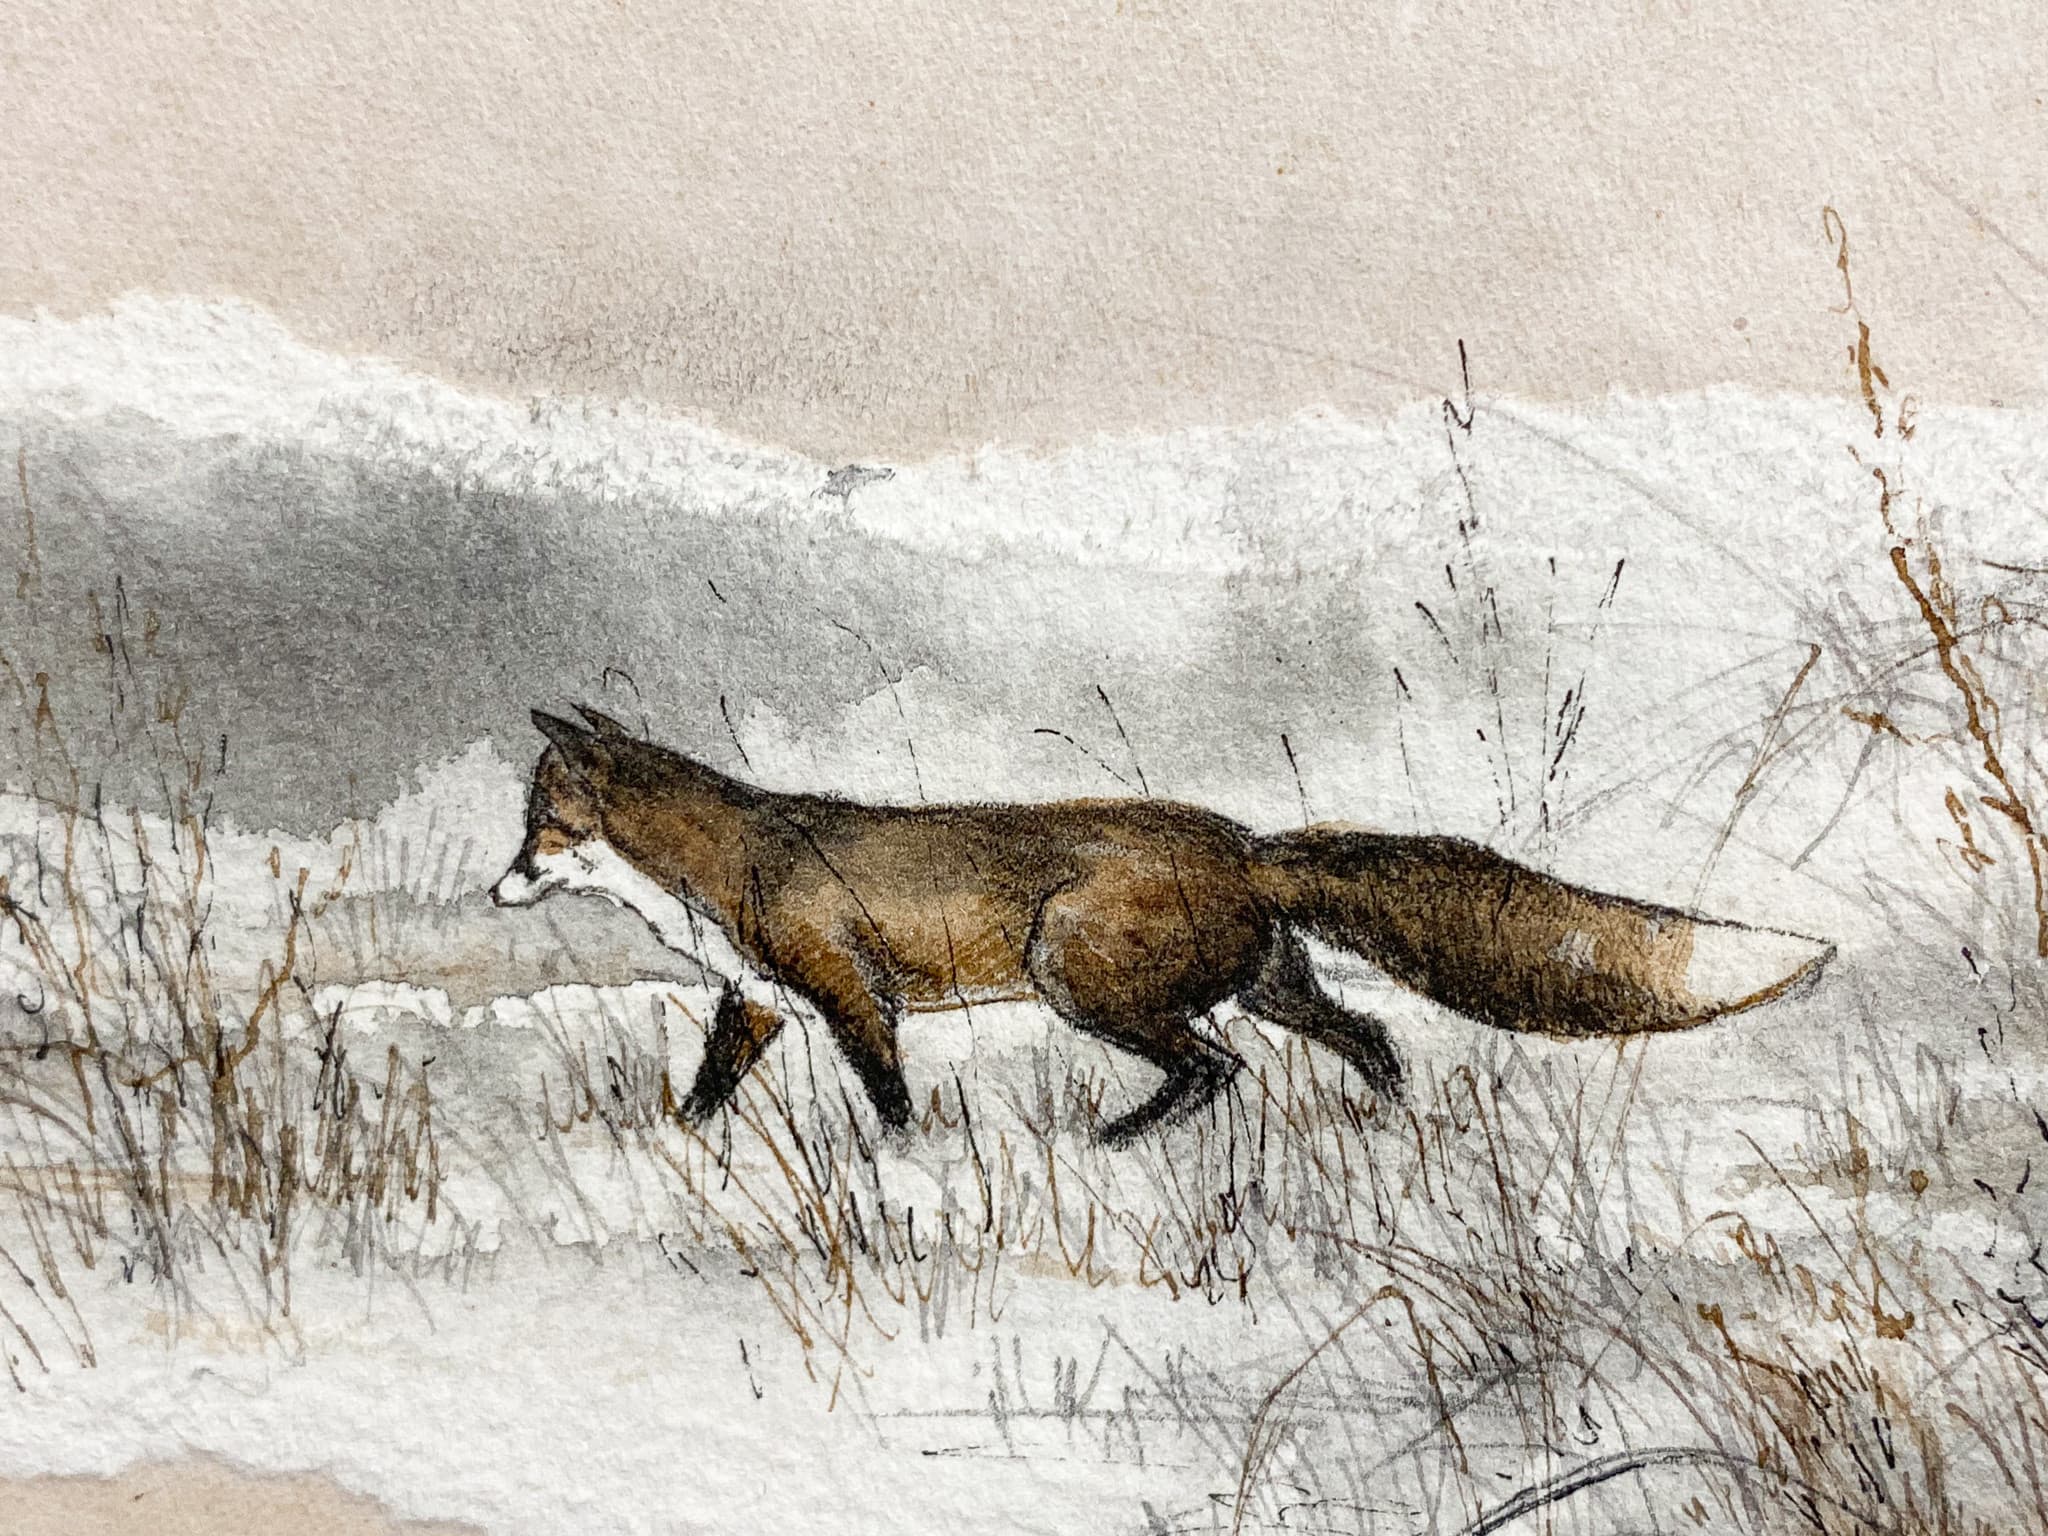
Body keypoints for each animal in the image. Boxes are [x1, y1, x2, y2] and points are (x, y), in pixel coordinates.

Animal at [489, 706, 1833, 1145]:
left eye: (542, 825)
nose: (496, 890)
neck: (724, 863)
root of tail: (1245, 840)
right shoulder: (760, 1001)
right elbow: (704, 1094)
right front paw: (674, 1155)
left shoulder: (849, 995)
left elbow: (889, 1104)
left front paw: (902, 1180)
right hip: (1267, 983)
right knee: (1364, 1041)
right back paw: (1386, 1135)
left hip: (1083, 982)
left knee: (1215, 1068)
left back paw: (1117, 1143)